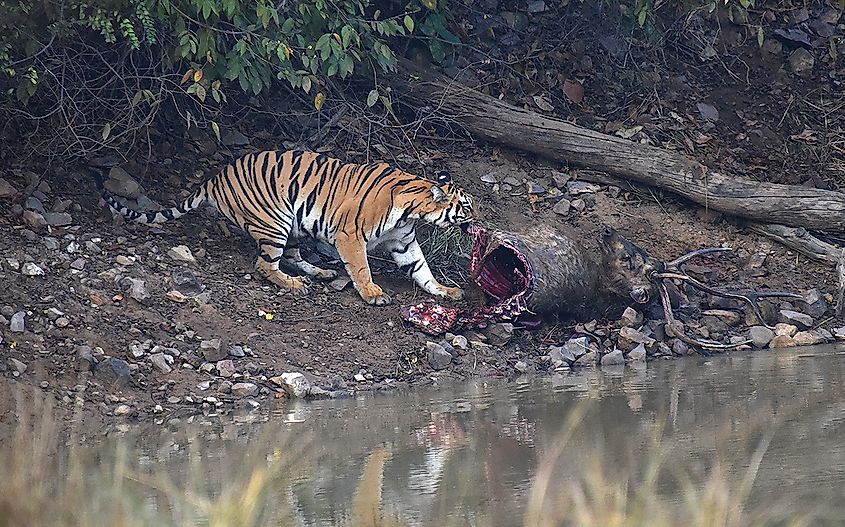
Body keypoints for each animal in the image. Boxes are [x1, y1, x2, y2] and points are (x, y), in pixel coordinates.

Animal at [96, 150, 478, 306]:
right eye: (466, 208)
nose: (478, 224)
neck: (412, 210)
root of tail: (216, 177)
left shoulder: (403, 242)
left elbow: (422, 269)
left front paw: (445, 291)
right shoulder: (350, 235)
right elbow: (362, 267)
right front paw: (372, 293)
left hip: (293, 224)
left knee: (292, 257)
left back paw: (319, 272)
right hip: (274, 221)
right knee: (264, 264)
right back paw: (294, 285)